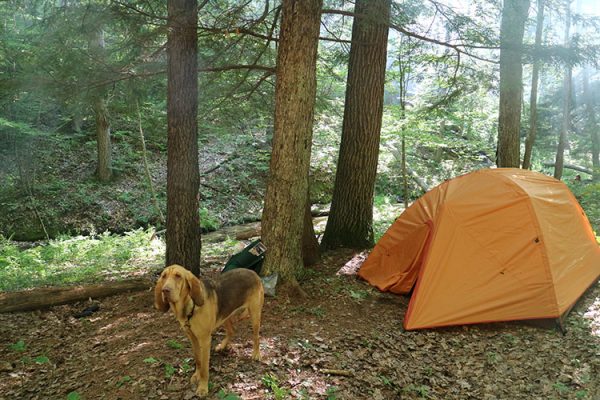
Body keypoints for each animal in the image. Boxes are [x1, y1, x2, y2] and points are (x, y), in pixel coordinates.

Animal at [156, 262, 264, 396]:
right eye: (163, 276)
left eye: (178, 276)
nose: (165, 290)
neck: (189, 306)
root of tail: (253, 272)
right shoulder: (193, 339)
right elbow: (198, 360)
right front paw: (196, 375)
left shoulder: (205, 340)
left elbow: (204, 369)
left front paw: (203, 387)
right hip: (224, 315)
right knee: (232, 331)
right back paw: (222, 346)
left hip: (254, 314)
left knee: (256, 336)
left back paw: (256, 354)